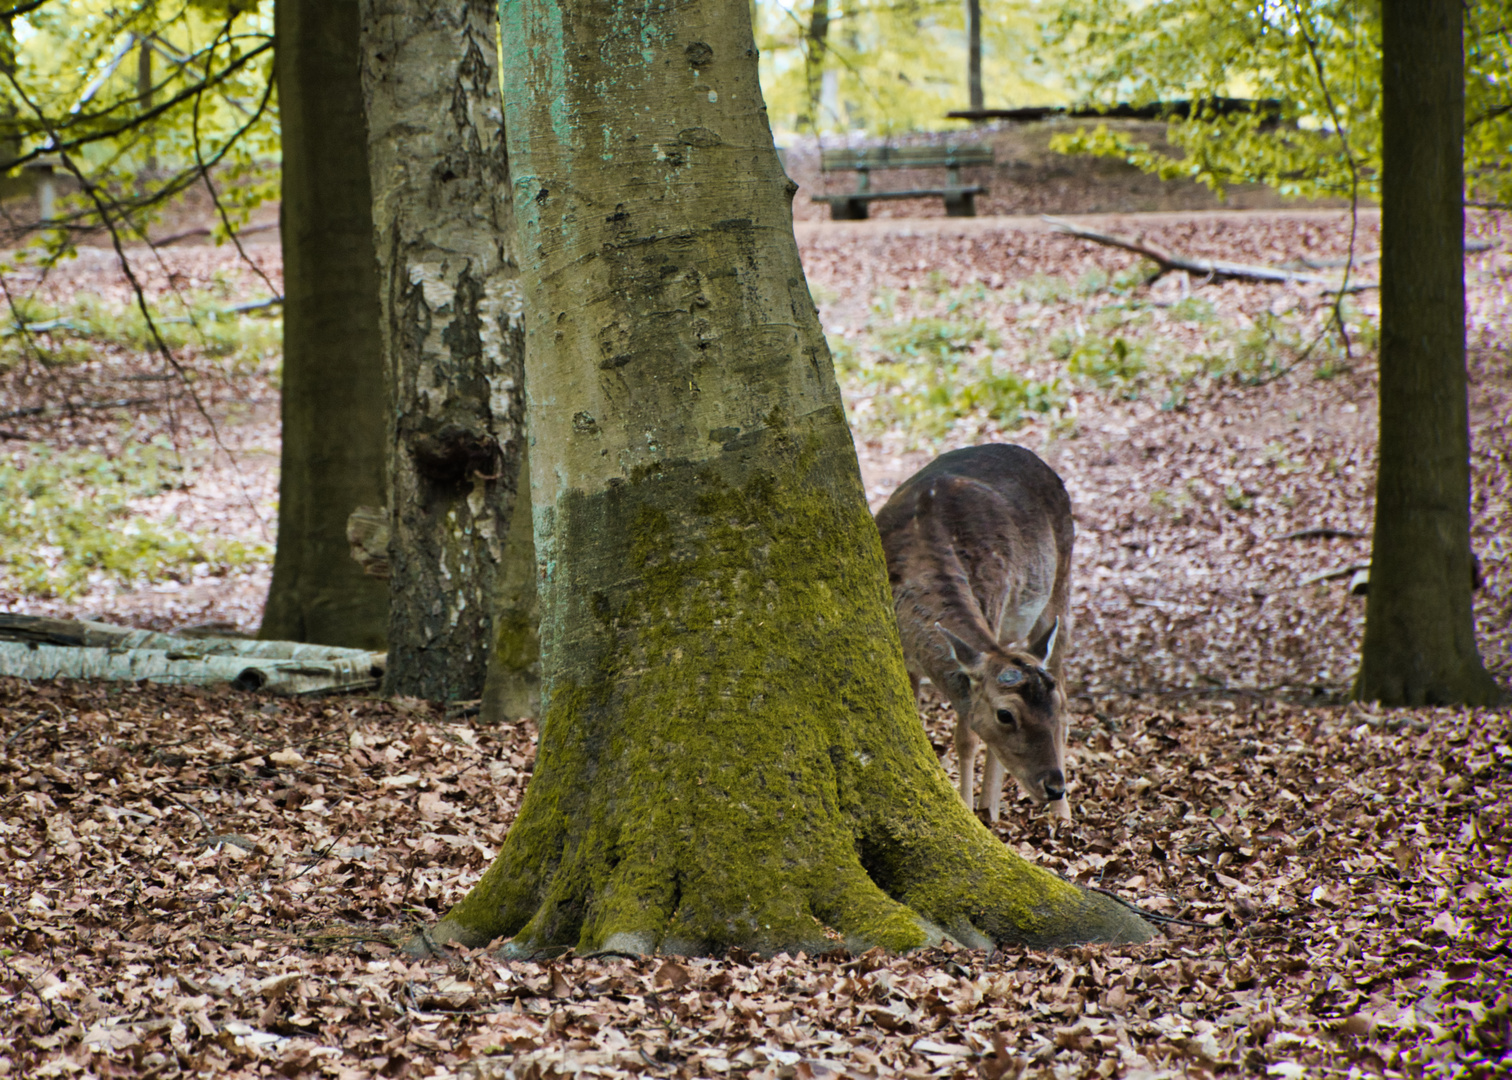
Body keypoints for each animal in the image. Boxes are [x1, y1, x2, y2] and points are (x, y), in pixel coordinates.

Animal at [876, 441, 1076, 822]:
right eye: (1005, 714)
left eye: (1052, 706)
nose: (1054, 785)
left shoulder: (992, 607)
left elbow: (966, 736)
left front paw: (966, 807)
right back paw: (994, 804)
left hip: (1060, 579)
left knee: (1062, 672)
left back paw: (1058, 814)